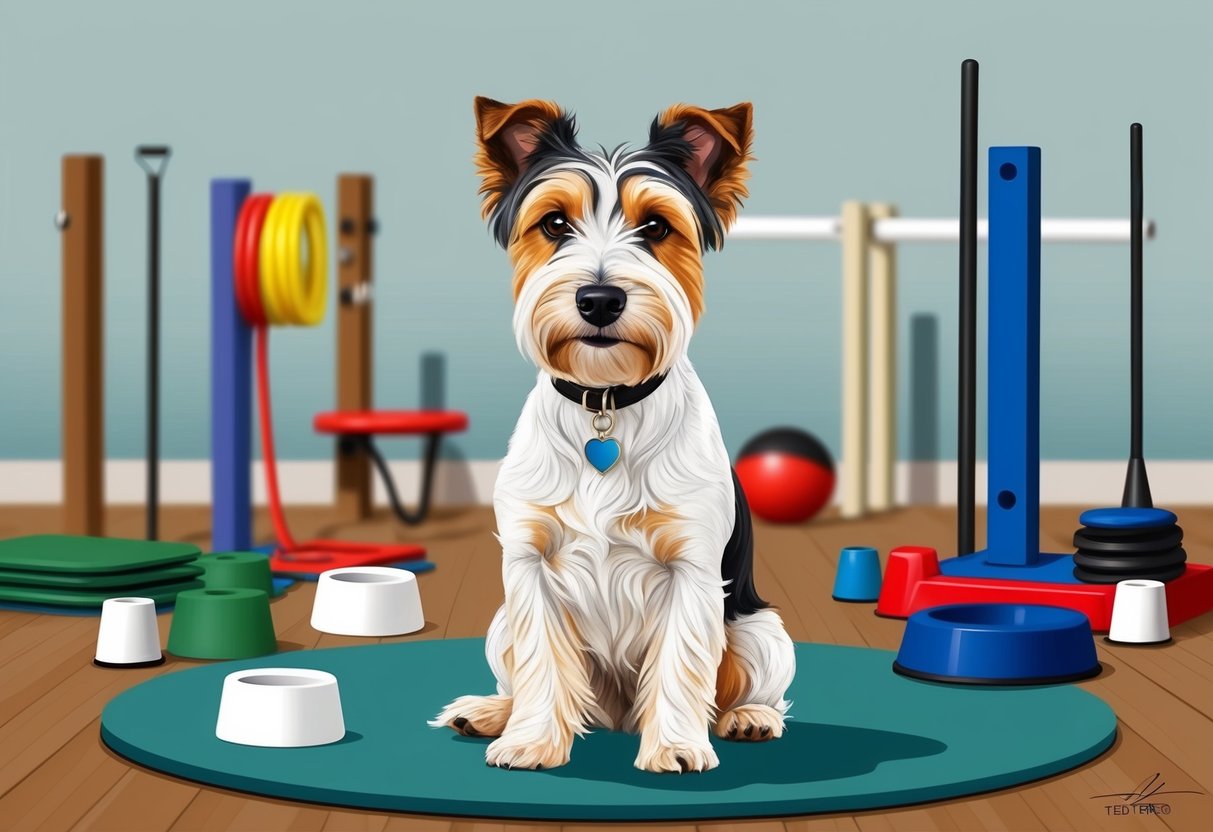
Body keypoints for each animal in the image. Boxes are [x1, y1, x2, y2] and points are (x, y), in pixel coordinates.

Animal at [431, 97, 800, 776]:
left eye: (655, 228)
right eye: (554, 223)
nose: (599, 299)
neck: (606, 400)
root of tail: (619, 715)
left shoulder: (691, 569)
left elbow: (683, 661)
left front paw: (677, 746)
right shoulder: (529, 565)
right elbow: (542, 663)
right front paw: (529, 741)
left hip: (760, 628)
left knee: (747, 681)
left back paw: (748, 717)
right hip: (500, 624)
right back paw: (491, 712)